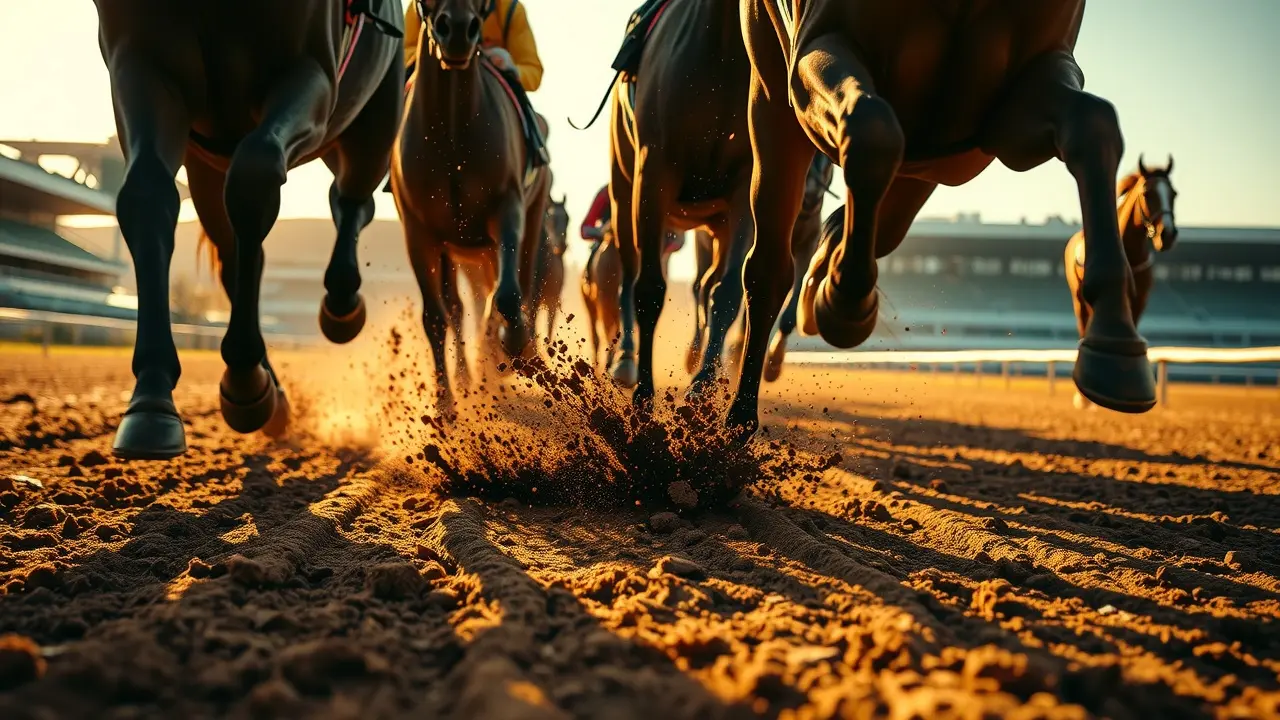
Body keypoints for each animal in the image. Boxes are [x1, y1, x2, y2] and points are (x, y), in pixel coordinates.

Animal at [93, 0, 405, 459]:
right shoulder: (141, 61)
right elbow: (147, 196)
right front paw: (151, 400)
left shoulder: (312, 69)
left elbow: (255, 174)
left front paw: (243, 381)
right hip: (205, 164)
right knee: (239, 255)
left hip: (372, 125)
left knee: (352, 198)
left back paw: (340, 308)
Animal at [391, 0, 552, 414]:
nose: (459, 30)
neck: (451, 134)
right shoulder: (419, 233)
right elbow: (435, 317)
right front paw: (445, 404)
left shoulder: (507, 208)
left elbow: (508, 295)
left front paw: (515, 345)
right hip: (453, 247)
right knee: (457, 308)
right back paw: (467, 378)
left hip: (532, 214)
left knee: (520, 284)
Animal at [606, 0, 754, 406]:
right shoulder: (654, 174)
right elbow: (649, 289)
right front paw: (644, 393)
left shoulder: (745, 188)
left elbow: (727, 291)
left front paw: (703, 382)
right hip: (623, 195)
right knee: (628, 275)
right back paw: (625, 359)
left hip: (715, 224)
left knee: (708, 282)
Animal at [724, 0, 1158, 439]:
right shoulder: (816, 48)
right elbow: (870, 128)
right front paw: (846, 304)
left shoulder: (1016, 97)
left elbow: (1094, 123)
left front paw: (1116, 346)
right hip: (773, 99)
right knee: (770, 265)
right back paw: (737, 421)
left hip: (919, 174)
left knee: (861, 227)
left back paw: (817, 288)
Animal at [1067, 154, 1177, 408]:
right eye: (1148, 192)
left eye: (1174, 194)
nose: (1167, 234)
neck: (1130, 252)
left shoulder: (1140, 300)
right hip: (1078, 300)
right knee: (1082, 327)